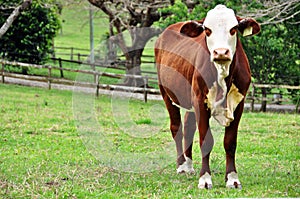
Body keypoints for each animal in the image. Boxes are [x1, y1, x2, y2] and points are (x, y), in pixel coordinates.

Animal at [155, 3, 260, 189]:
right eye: (207, 30)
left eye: (233, 29)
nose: (221, 52)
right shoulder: (200, 102)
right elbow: (206, 140)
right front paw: (205, 179)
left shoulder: (238, 104)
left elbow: (230, 142)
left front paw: (232, 178)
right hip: (166, 92)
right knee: (177, 127)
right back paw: (181, 165)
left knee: (189, 127)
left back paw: (189, 166)